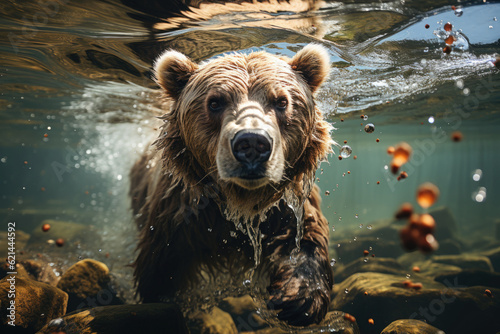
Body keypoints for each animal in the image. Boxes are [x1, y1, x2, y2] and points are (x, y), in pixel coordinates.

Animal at [129, 43, 334, 326]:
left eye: (282, 101)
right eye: (215, 102)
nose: (252, 143)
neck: (239, 201)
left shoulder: (288, 204)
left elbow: (304, 237)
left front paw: (300, 298)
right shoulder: (179, 213)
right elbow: (159, 269)